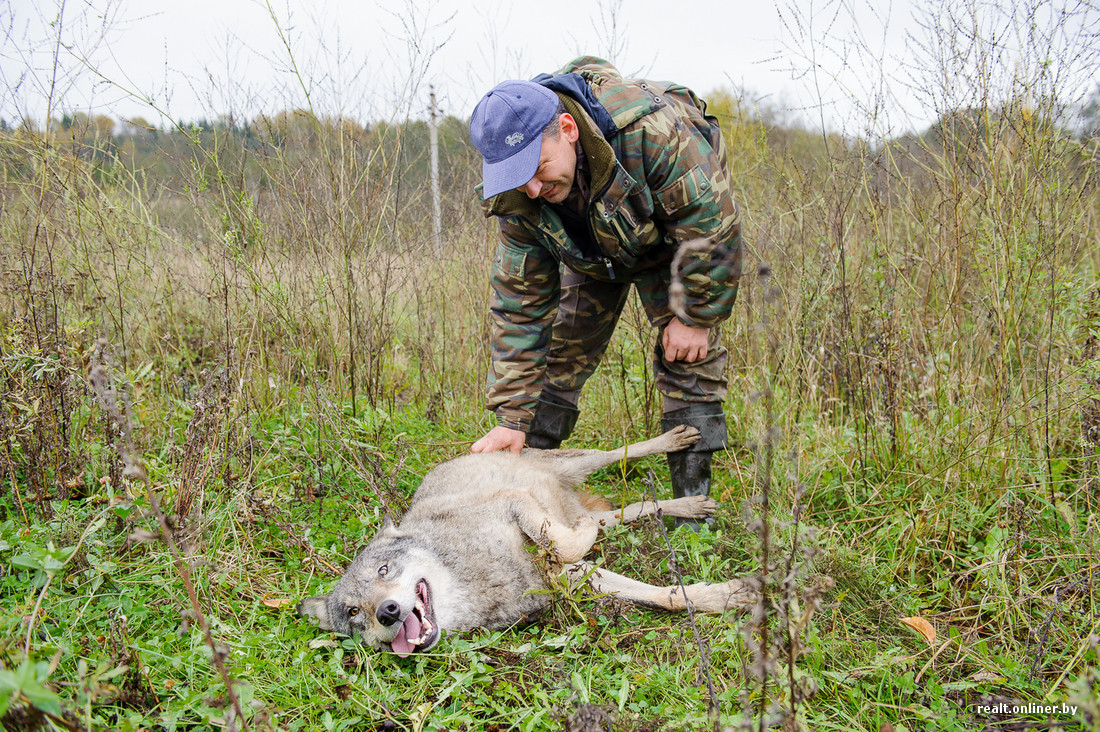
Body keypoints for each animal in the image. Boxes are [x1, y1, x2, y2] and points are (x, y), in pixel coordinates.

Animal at [297, 424, 752, 651]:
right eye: (354, 613)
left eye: (384, 569)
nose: (388, 612)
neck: (470, 580)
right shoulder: (568, 579)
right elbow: (665, 596)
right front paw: (725, 596)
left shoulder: (513, 502)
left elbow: (564, 543)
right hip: (606, 512)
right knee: (635, 510)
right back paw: (690, 507)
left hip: (580, 463)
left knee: (621, 452)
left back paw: (675, 441)